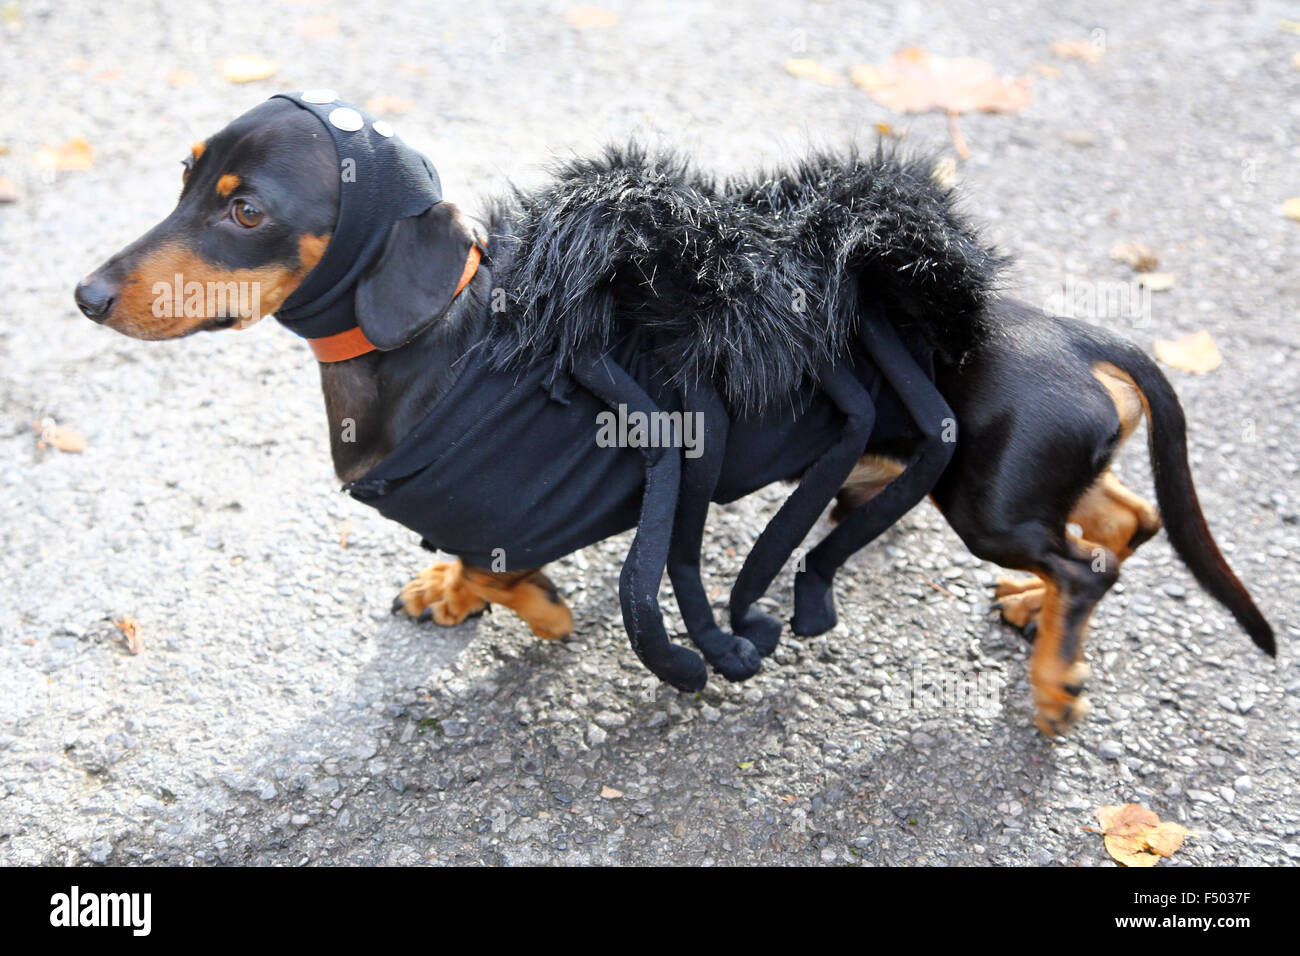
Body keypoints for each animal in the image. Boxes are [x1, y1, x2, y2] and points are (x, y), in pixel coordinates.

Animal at [76, 93, 1274, 738]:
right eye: (185, 176)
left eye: (246, 210)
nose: (84, 293)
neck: (437, 343)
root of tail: (1076, 335)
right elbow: (471, 560)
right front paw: (447, 591)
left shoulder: (565, 508)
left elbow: (517, 570)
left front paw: (542, 612)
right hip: (1010, 484)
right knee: (1120, 521)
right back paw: (1037, 613)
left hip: (981, 498)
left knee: (1092, 560)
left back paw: (1055, 679)